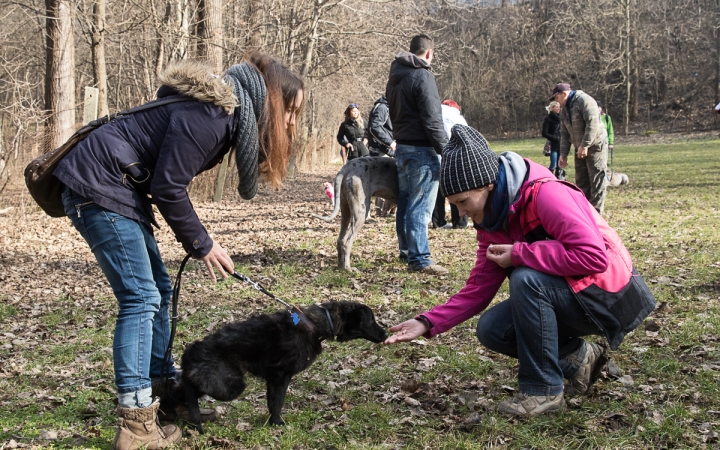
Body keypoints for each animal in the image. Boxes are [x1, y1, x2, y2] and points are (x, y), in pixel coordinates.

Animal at [164, 300, 388, 430]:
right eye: (371, 320)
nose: (386, 334)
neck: (314, 324)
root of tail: (191, 351)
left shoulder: (275, 378)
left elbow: (273, 402)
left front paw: (273, 423)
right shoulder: (281, 376)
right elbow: (277, 402)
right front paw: (277, 424)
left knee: (177, 391)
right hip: (229, 386)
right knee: (184, 389)